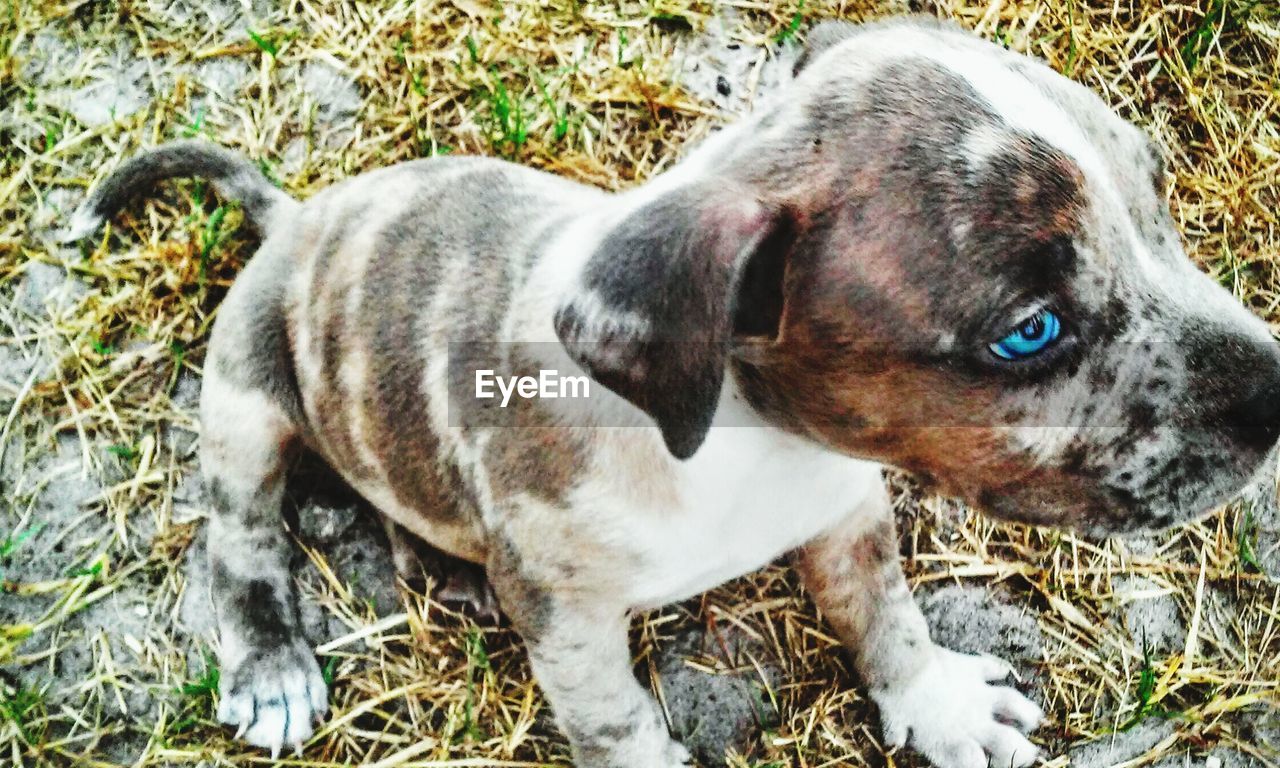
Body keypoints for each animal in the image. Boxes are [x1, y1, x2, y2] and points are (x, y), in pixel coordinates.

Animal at [67, 16, 1280, 768]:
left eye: (1159, 191)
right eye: (1028, 332)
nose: (1278, 394)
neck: (752, 446)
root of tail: (297, 213)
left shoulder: (847, 508)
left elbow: (884, 612)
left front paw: (931, 699)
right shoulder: (572, 625)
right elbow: (617, 727)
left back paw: (449, 570)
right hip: (244, 398)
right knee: (242, 536)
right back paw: (273, 659)